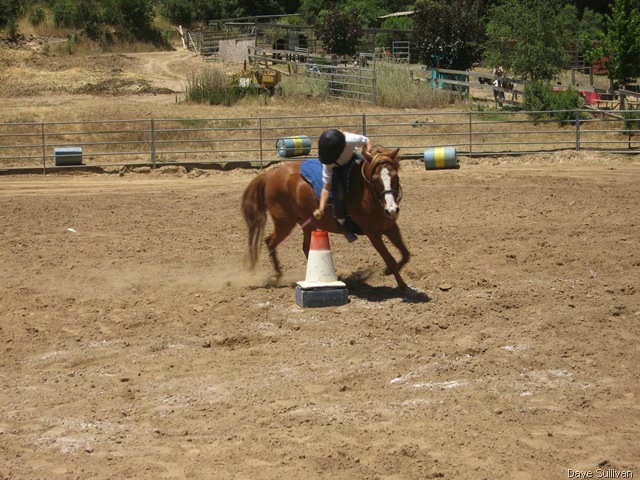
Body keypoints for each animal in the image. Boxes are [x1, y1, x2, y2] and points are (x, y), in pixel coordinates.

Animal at [241, 145, 411, 291]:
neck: (366, 193)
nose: (392, 210)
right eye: (375, 179)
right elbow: (390, 259)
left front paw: (390, 272)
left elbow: (405, 254)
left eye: (395, 176)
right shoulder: (373, 233)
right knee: (270, 241)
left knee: (305, 247)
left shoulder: (390, 227)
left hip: (307, 223)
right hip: (285, 222)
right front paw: (402, 285)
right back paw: (277, 275)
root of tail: (270, 175)